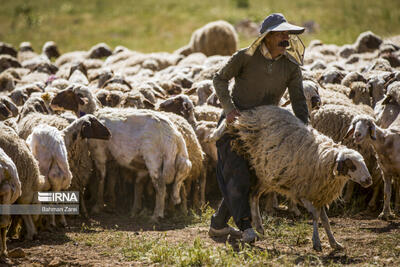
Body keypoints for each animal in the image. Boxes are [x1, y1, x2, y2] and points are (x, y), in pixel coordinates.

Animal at [225, 106, 372, 251]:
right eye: (352, 165)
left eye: (363, 162)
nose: (368, 180)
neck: (323, 160)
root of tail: (250, 113)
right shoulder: (300, 192)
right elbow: (315, 214)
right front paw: (316, 242)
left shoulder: (319, 194)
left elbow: (325, 219)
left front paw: (334, 242)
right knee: (251, 194)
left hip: (267, 176)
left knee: (253, 195)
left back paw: (259, 227)